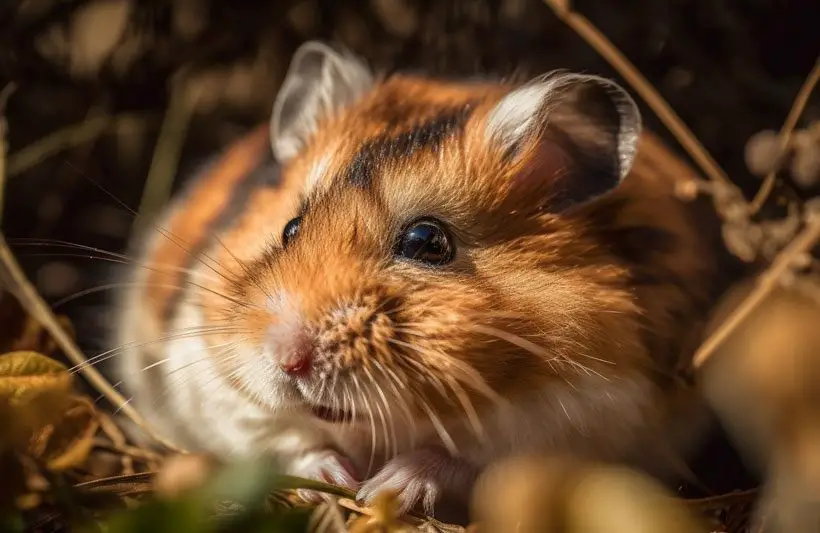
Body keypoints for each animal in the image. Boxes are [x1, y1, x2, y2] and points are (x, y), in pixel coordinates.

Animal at [113, 41, 724, 516]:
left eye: (427, 242)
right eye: (289, 228)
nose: (287, 358)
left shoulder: (587, 422)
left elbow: (463, 460)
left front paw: (384, 488)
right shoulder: (210, 384)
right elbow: (285, 437)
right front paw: (335, 482)